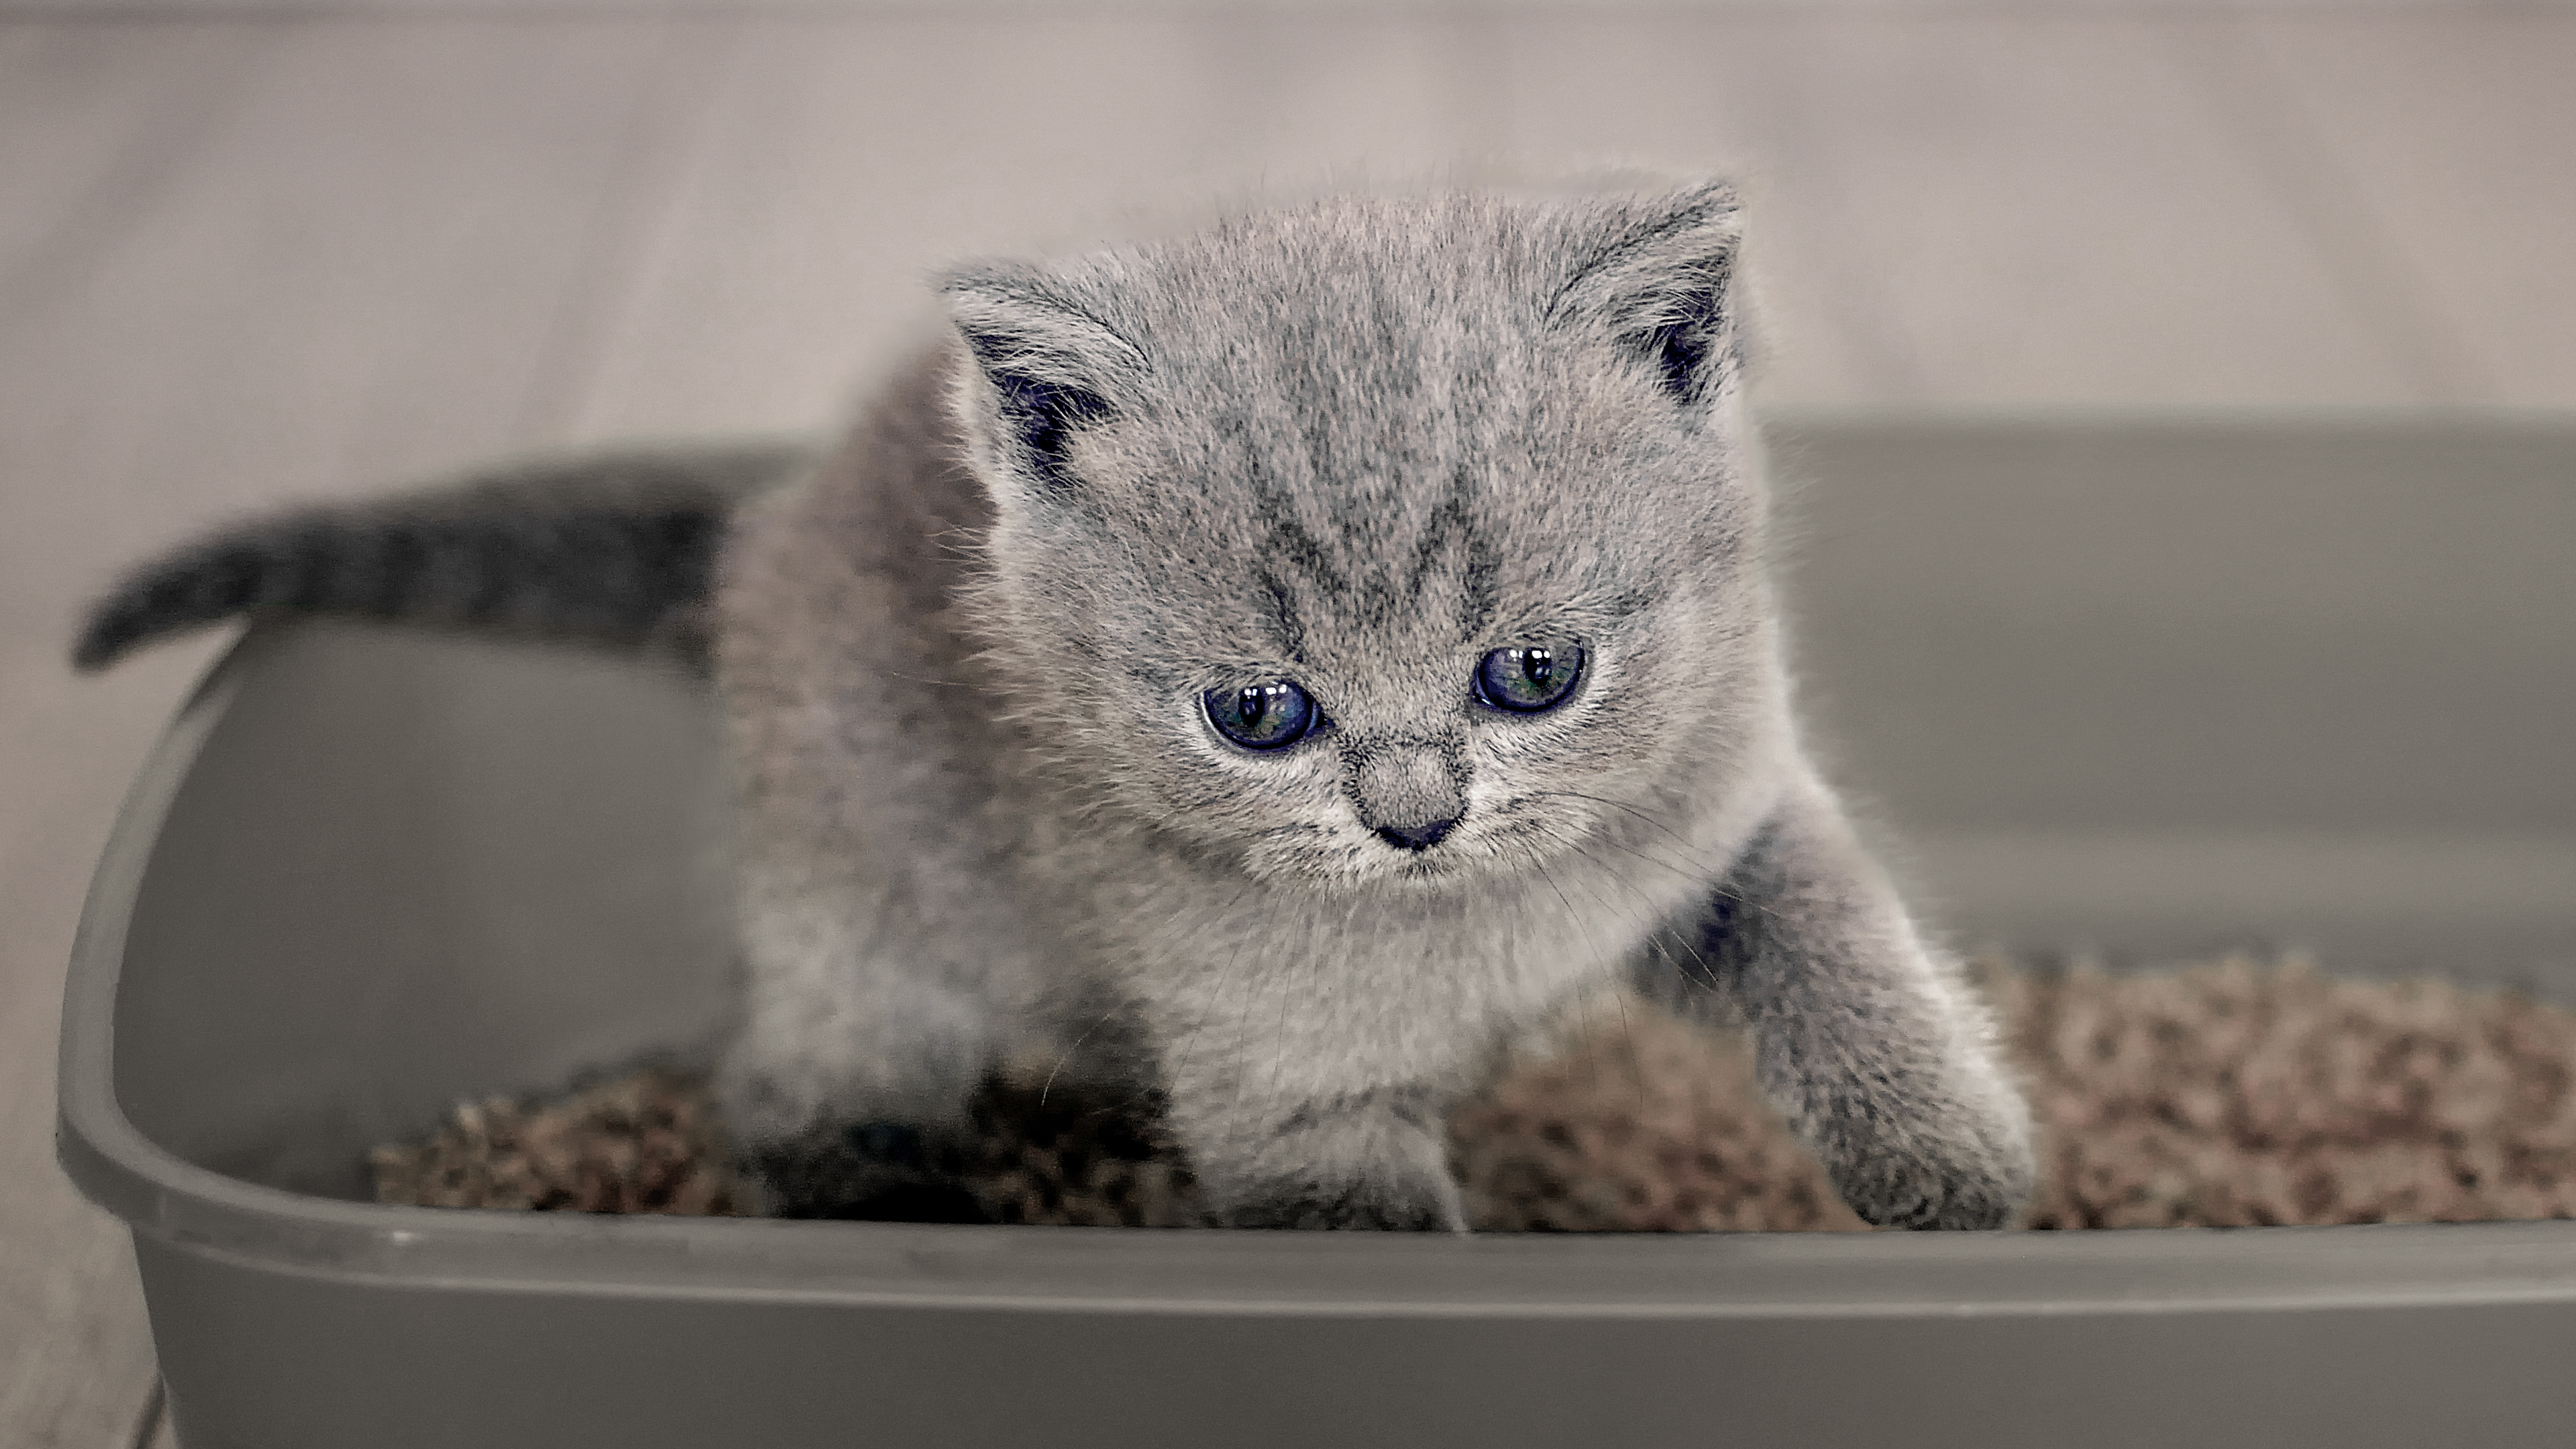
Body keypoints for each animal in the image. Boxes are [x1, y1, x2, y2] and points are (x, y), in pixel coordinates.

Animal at [70, 175, 2029, 1222]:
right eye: (1259, 716)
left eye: (1533, 673)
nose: (1414, 813)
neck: (1479, 930)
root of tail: (765, 524)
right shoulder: (1289, 1111)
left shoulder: (1735, 805)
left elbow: (1842, 941)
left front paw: (1953, 1161)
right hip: (867, 916)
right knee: (780, 1085)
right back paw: (893, 1192)